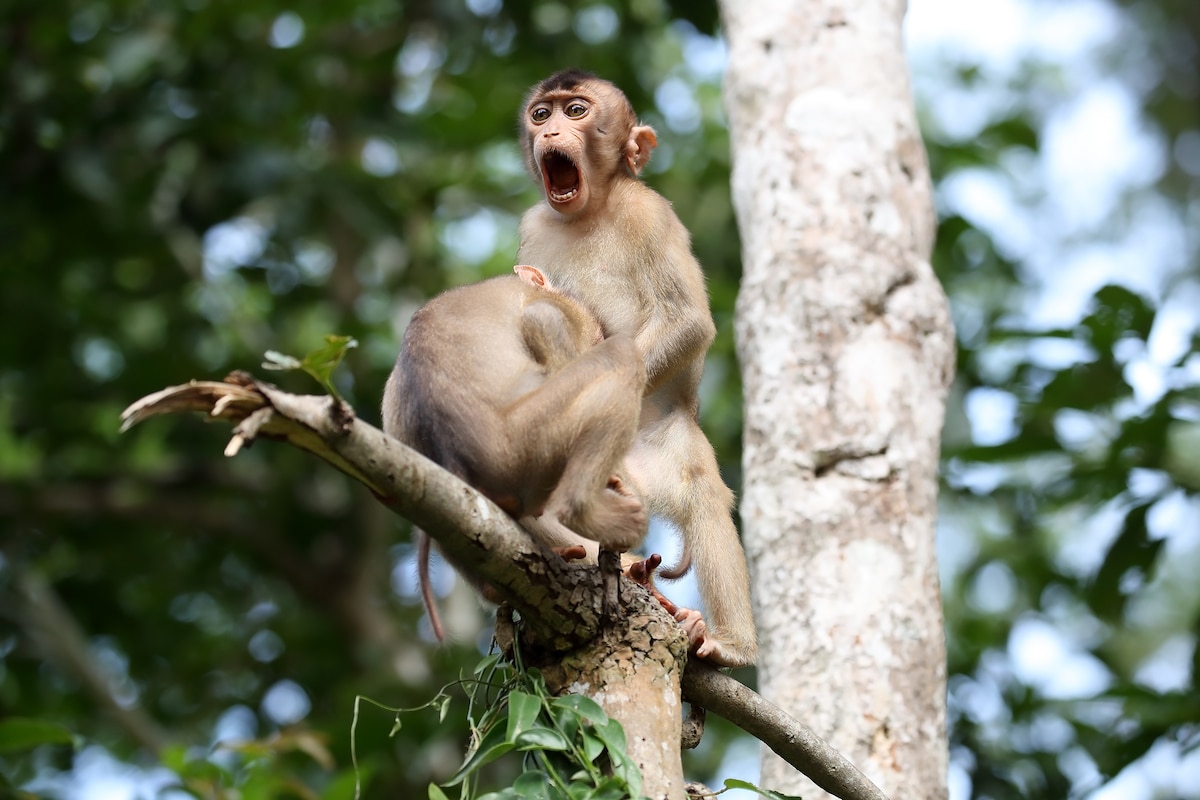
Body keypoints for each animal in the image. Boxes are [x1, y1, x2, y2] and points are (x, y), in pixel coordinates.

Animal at [381, 266, 648, 642]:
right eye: (594, 334)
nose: (592, 342)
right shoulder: (557, 316)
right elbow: (543, 319)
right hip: (527, 442)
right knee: (621, 354)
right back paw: (587, 511)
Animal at [516, 70, 758, 671]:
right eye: (541, 114)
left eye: (576, 110)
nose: (550, 130)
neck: (591, 211)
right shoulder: (535, 225)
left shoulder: (650, 214)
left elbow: (687, 319)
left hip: (667, 448)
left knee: (701, 493)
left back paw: (728, 643)